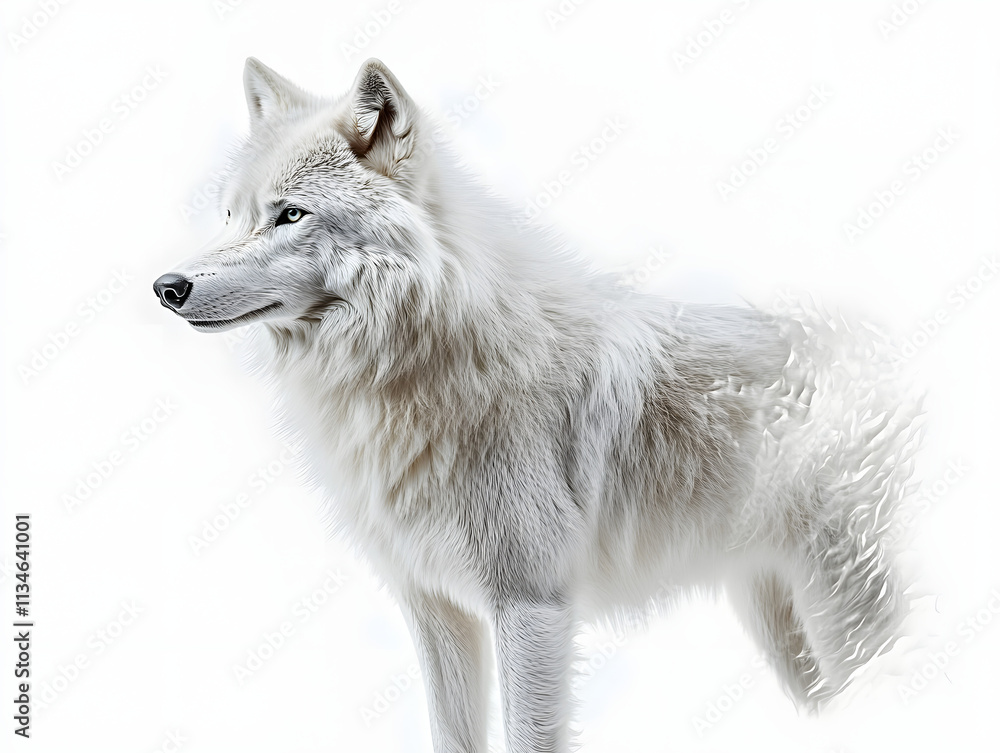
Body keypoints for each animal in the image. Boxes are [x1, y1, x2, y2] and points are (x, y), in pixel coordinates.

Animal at [154, 58, 921, 752]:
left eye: (290, 214)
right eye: (231, 214)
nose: (168, 286)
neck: (409, 368)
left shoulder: (531, 604)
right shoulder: (435, 608)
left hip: (849, 618)